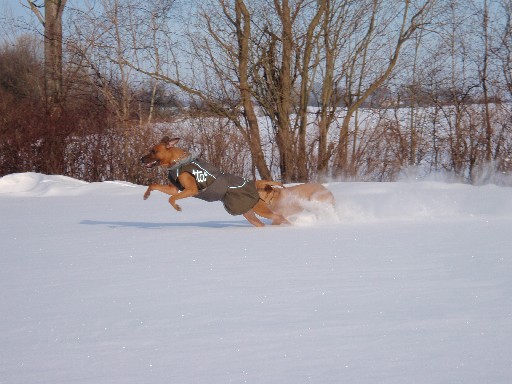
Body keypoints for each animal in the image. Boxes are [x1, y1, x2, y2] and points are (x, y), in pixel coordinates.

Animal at [142, 136, 290, 226]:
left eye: (154, 151)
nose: (141, 159)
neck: (177, 162)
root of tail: (256, 183)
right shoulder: (174, 188)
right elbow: (154, 185)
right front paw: (146, 195)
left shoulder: (191, 190)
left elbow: (171, 198)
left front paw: (177, 207)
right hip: (248, 212)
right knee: (263, 223)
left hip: (260, 209)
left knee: (280, 217)